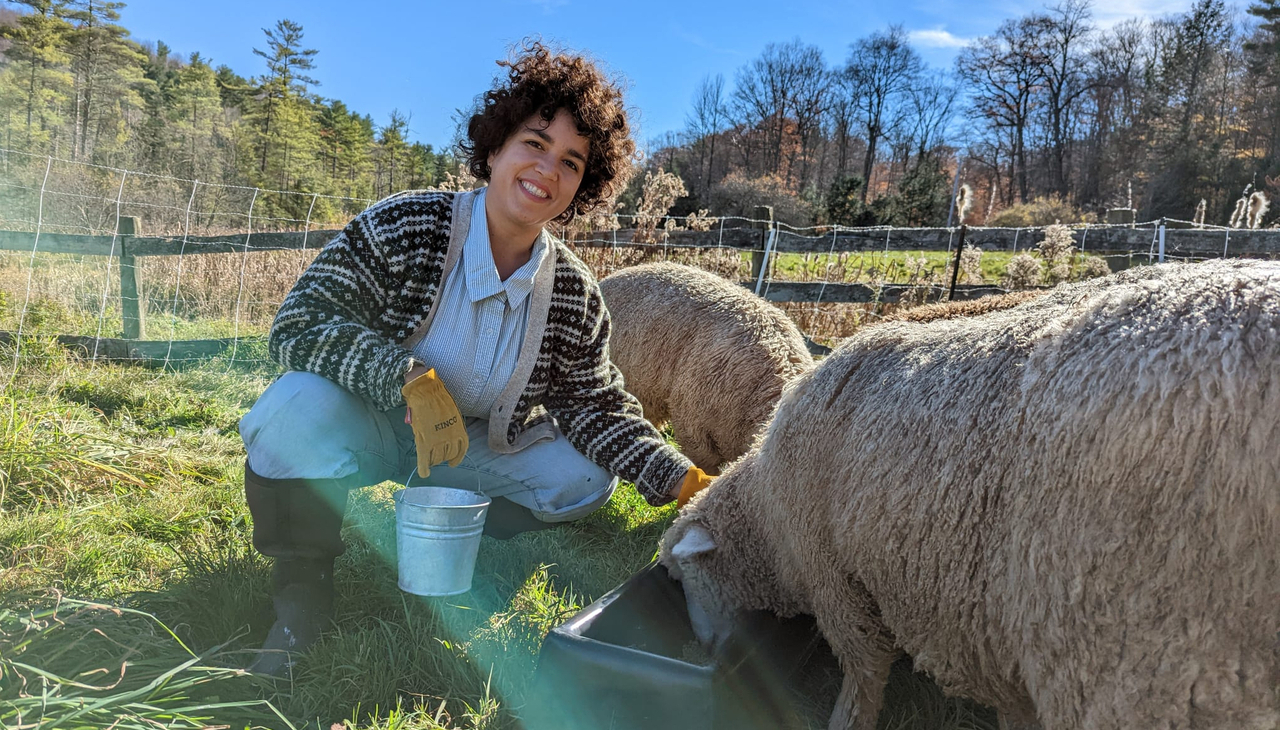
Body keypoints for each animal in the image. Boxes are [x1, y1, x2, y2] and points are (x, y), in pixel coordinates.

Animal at [660, 257, 1280, 727]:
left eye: (685, 577)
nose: (702, 649)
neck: (767, 514)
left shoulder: (835, 576)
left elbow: (865, 669)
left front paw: (845, 720)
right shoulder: (982, 628)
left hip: (1142, 653)